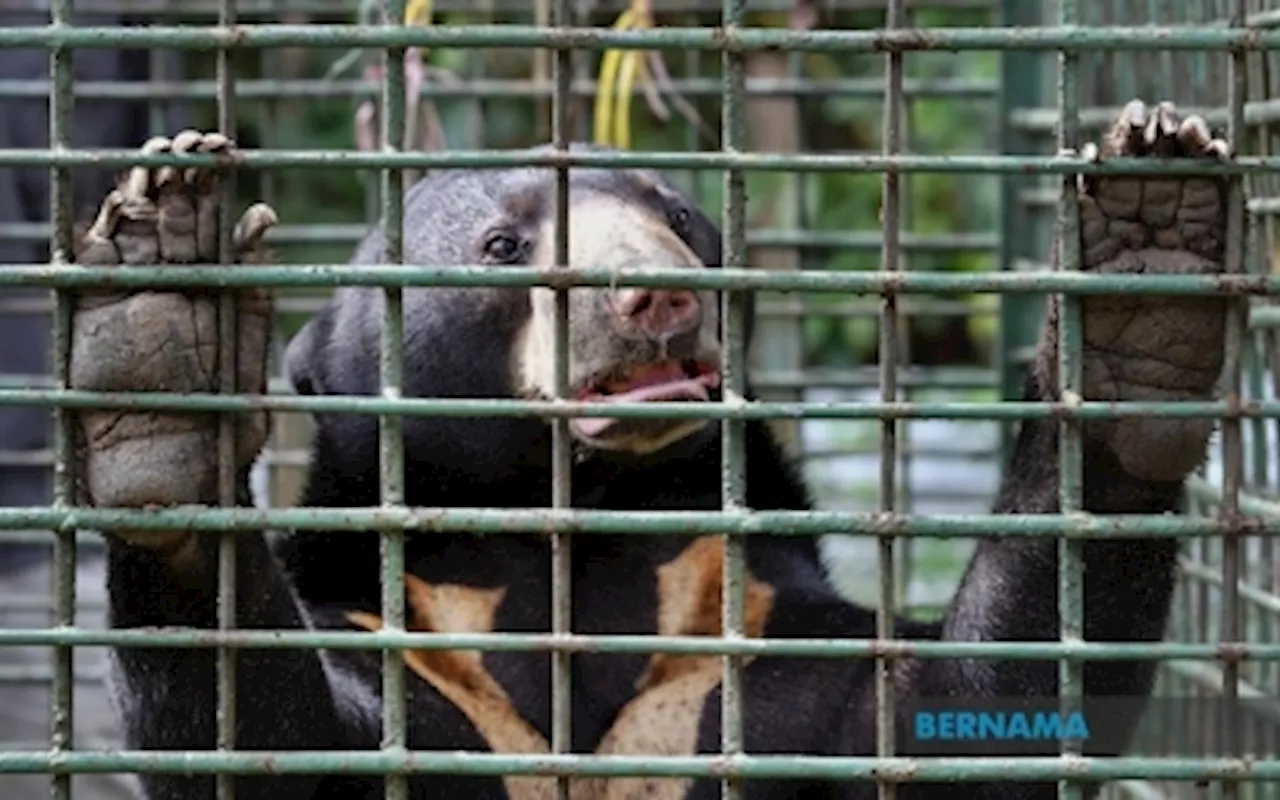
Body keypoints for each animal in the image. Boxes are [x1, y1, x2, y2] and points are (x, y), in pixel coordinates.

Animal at [67, 99, 1228, 798]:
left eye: (676, 215)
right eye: (503, 245)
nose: (655, 296)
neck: (577, 548)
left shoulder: (749, 631)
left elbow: (953, 725)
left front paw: (1141, 279)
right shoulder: (401, 642)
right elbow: (279, 741)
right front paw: (163, 346)